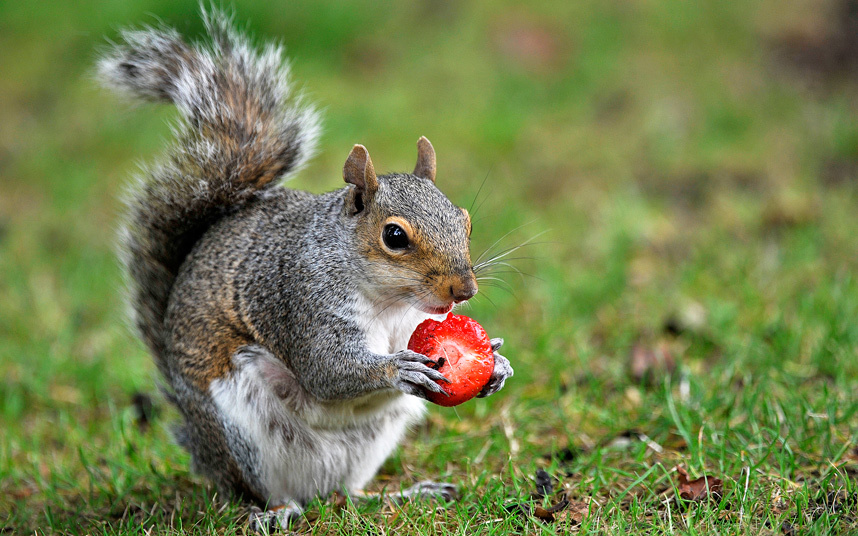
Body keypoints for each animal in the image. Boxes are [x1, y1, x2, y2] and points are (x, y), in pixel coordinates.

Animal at [100, 8, 516, 532]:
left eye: (465, 220)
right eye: (394, 236)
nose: (465, 290)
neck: (389, 301)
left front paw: (497, 363)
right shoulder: (300, 299)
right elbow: (325, 370)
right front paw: (396, 367)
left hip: (371, 440)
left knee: (348, 491)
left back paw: (400, 494)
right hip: (239, 430)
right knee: (261, 490)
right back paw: (276, 511)